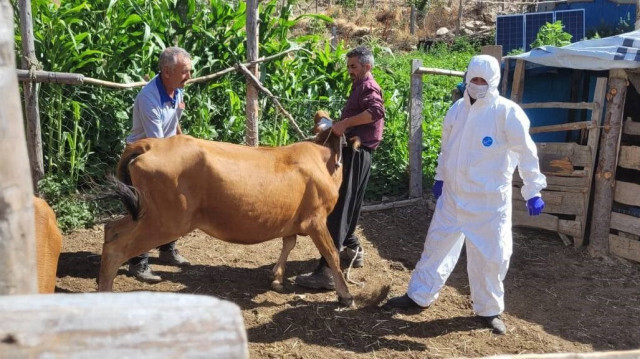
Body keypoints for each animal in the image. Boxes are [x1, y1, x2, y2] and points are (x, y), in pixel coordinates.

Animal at [102, 110, 358, 306]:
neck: (322, 160)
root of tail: (149, 144)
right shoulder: (316, 219)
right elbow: (332, 254)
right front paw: (345, 295)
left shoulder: (293, 219)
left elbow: (289, 243)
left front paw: (276, 278)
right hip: (167, 220)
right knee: (117, 247)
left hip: (146, 212)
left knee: (111, 229)